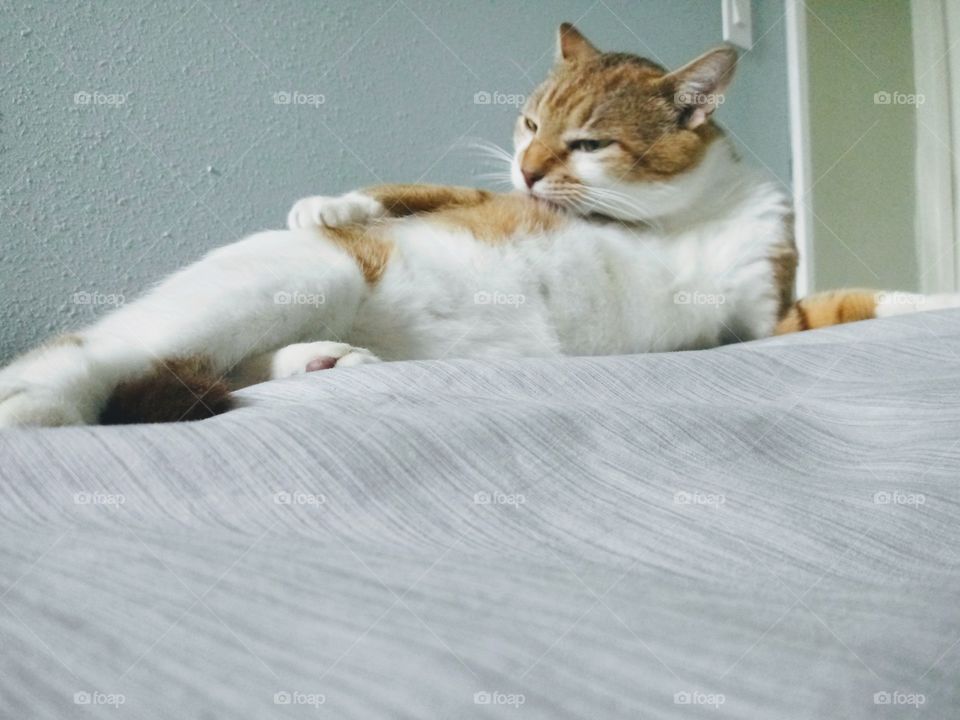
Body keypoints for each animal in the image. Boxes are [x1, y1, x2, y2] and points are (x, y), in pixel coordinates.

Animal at [1, 23, 960, 428]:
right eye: (528, 125)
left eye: (590, 142)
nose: (528, 168)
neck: (683, 215)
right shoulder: (486, 197)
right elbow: (418, 187)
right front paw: (337, 198)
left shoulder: (764, 318)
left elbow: (860, 301)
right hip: (304, 276)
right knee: (89, 354)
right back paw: (40, 408)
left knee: (219, 365)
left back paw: (322, 361)